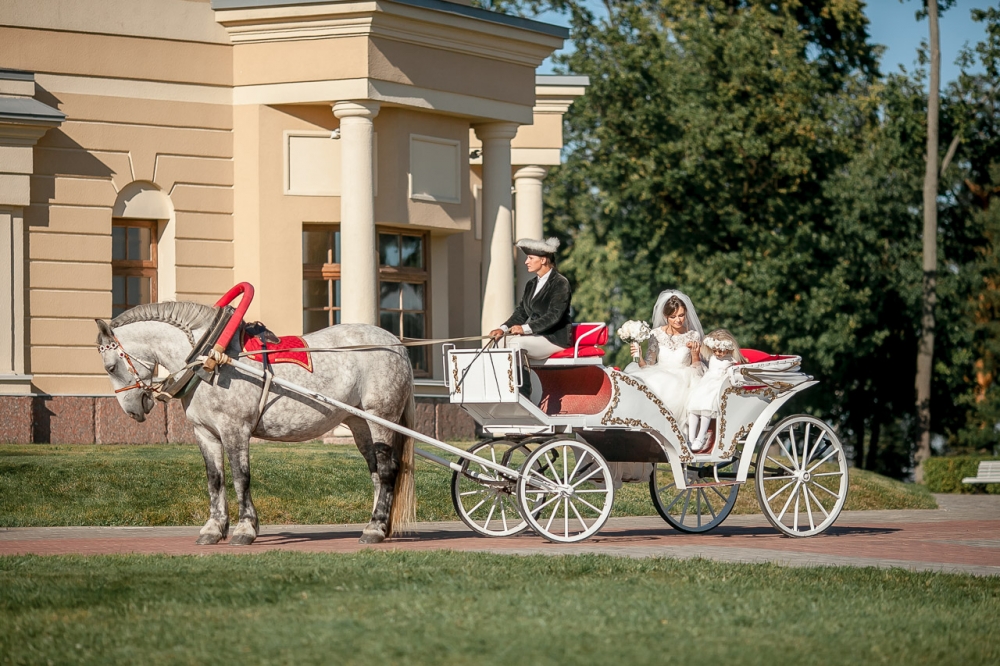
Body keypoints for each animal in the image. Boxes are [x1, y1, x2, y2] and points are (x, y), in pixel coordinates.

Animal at [94, 300, 414, 544]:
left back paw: (375, 528)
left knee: (387, 470)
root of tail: (396, 343)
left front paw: (245, 528)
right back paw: (376, 524)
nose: (131, 409)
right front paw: (213, 528)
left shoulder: (234, 429)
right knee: (376, 473)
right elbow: (215, 479)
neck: (212, 358)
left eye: (110, 367)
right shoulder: (205, 433)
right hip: (360, 423)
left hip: (382, 417)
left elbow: (240, 476)